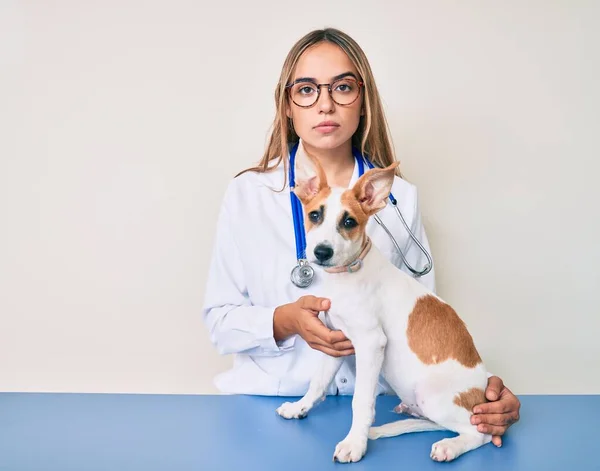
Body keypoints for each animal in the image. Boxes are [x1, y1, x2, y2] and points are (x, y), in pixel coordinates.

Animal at [274, 148, 490, 464]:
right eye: (314, 215)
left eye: (349, 222)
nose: (321, 252)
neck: (347, 275)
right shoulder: (335, 340)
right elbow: (318, 382)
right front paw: (299, 407)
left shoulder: (370, 342)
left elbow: (361, 401)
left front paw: (354, 443)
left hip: (431, 394)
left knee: (478, 432)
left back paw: (449, 446)